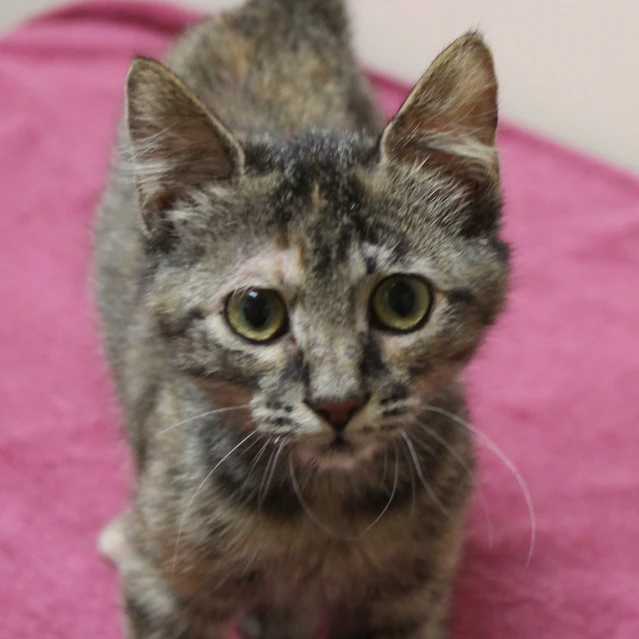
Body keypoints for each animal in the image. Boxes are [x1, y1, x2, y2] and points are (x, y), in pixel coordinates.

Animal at [94, 1, 510, 639]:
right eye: (255, 312)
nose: (338, 404)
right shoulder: (164, 589)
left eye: (402, 302)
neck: (324, 507)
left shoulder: (411, 595)